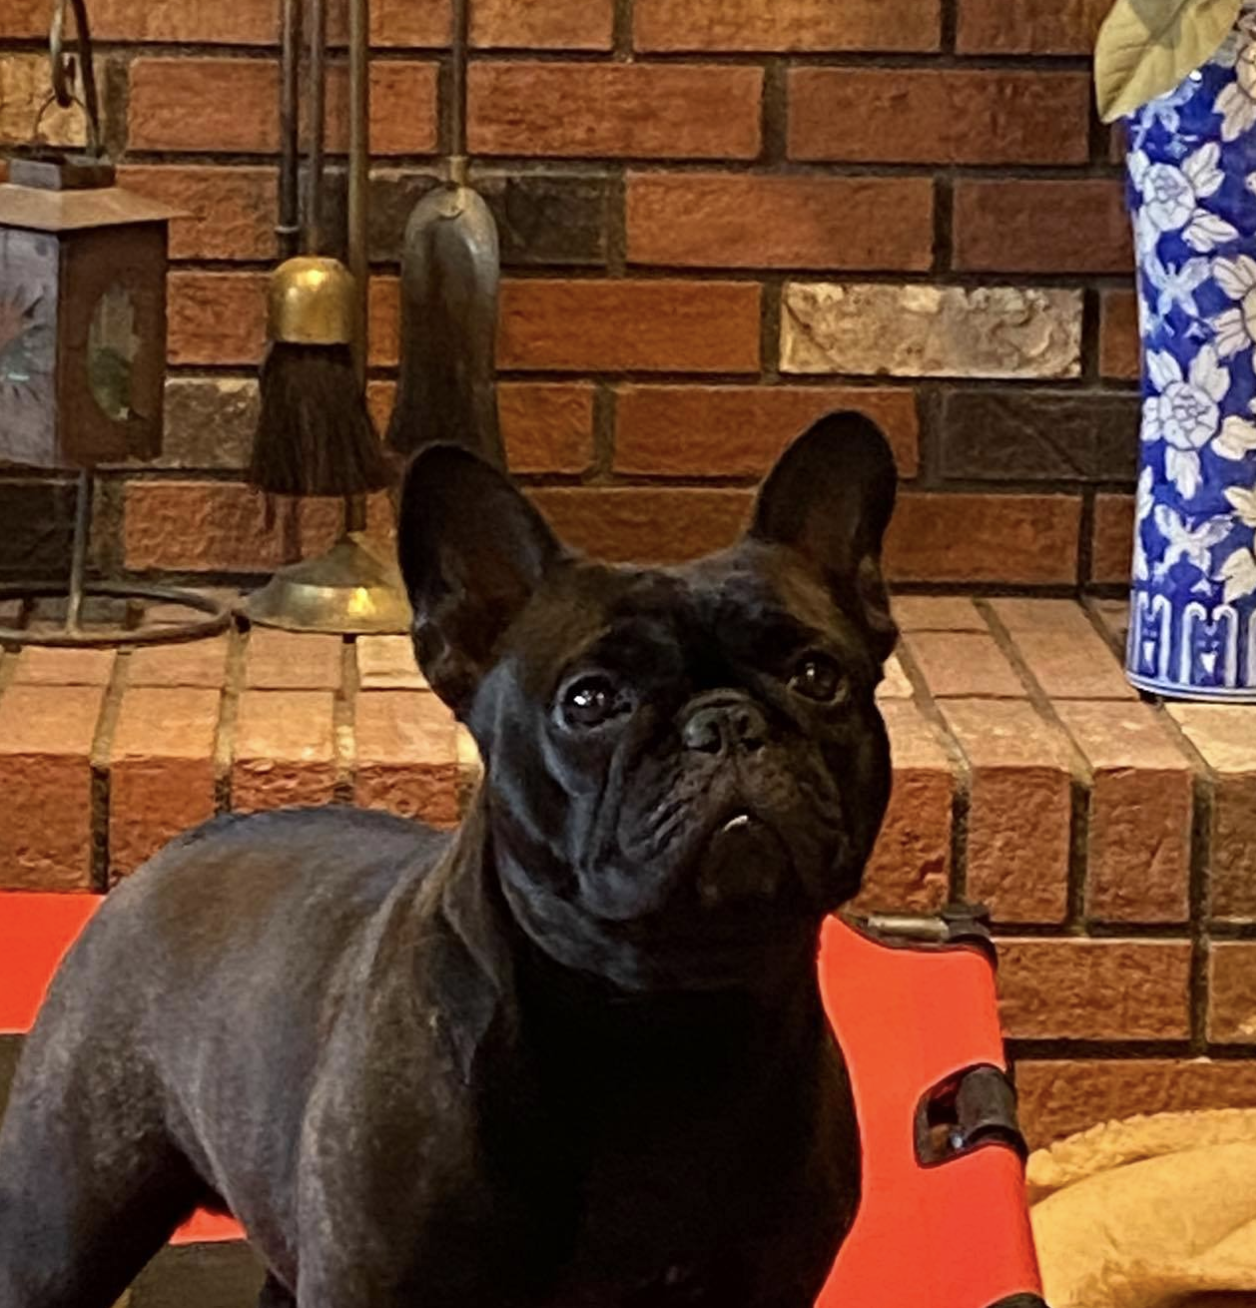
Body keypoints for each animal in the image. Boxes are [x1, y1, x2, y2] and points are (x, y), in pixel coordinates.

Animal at [0, 411, 898, 1308]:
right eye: (590, 700)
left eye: (817, 675)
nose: (726, 723)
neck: (664, 1008)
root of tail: (168, 856)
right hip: (61, 1224)